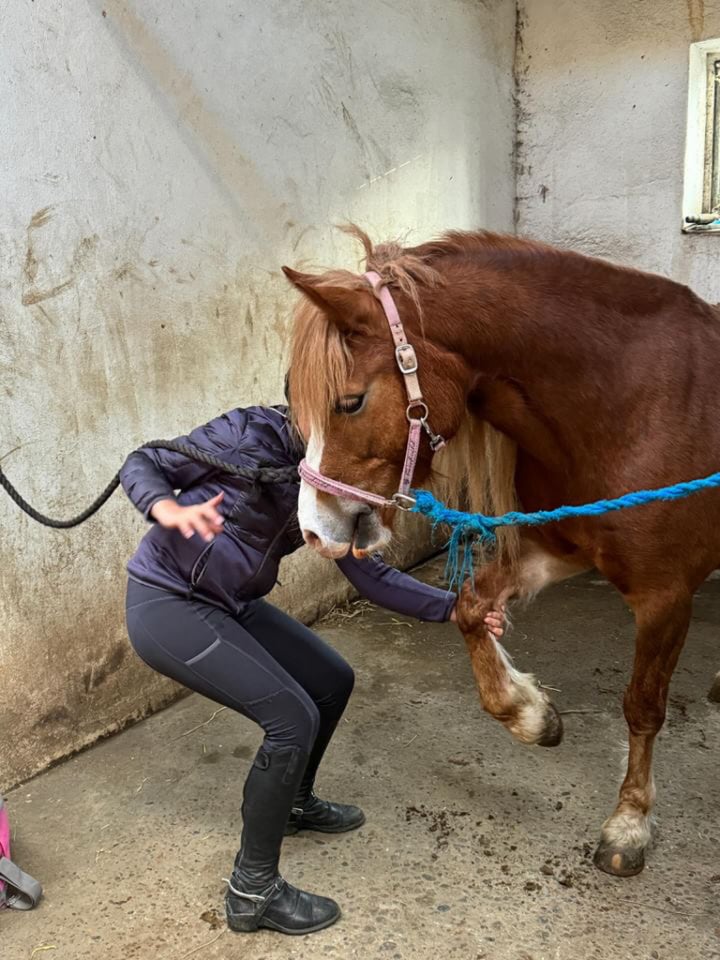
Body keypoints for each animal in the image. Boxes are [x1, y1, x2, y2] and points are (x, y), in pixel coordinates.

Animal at [282, 227, 720, 876]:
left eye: (351, 402)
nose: (314, 531)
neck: (631, 407)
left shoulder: (664, 595)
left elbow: (643, 705)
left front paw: (630, 821)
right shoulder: (554, 546)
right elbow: (469, 609)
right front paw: (532, 714)